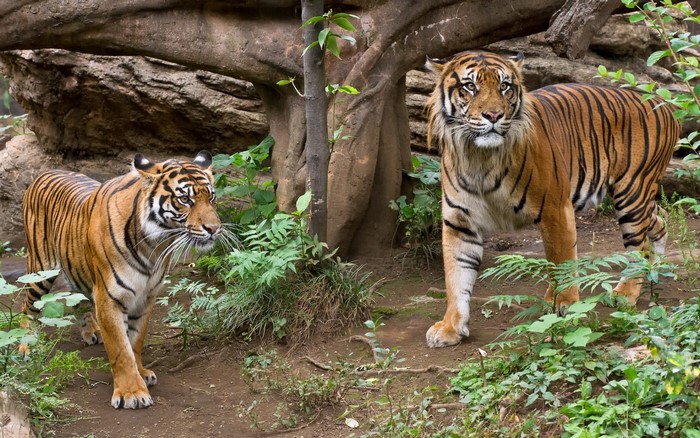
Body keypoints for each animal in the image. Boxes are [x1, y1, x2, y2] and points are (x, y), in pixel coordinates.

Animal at [22, 151, 224, 408]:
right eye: (185, 199)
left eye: (211, 197)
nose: (214, 229)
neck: (154, 245)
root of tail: (46, 171)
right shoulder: (109, 297)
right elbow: (120, 349)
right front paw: (132, 392)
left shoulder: (145, 297)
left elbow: (135, 342)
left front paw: (141, 374)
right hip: (40, 270)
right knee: (26, 305)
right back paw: (25, 346)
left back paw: (91, 331)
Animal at [424, 51, 680, 348]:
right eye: (470, 86)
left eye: (504, 86)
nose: (494, 115)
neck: (480, 157)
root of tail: (662, 103)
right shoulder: (459, 221)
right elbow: (457, 277)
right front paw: (450, 327)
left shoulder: (555, 209)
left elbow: (562, 261)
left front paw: (568, 307)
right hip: (641, 197)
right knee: (660, 220)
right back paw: (656, 269)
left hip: (633, 191)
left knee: (640, 247)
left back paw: (625, 293)